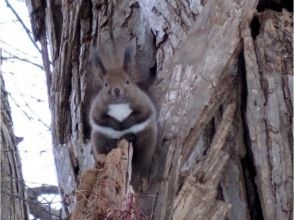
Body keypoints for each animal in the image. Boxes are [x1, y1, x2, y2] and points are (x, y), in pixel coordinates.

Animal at [89, 40, 158, 172]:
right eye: (105, 84)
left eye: (127, 81)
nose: (117, 90)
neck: (119, 104)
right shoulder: (97, 108)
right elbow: (99, 119)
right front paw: (117, 125)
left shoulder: (142, 102)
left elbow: (142, 114)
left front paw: (124, 124)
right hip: (99, 138)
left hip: (146, 136)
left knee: (141, 156)